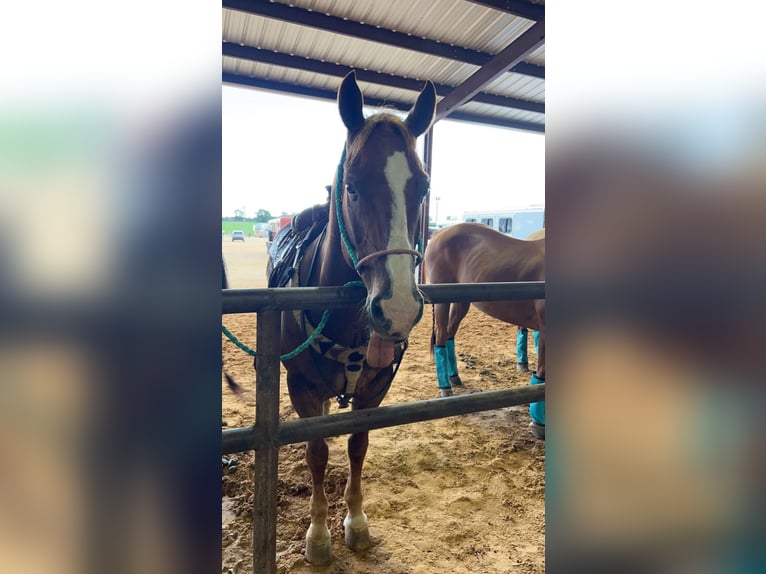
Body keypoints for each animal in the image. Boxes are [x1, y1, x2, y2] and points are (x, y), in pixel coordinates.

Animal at [267, 71, 435, 564]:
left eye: (422, 187)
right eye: (353, 186)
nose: (397, 307)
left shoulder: (375, 387)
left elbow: (357, 445)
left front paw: (356, 522)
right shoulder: (302, 386)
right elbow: (318, 451)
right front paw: (319, 533)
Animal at [423, 222, 545, 436]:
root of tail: (438, 233)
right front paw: (538, 425)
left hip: (461, 301)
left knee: (449, 335)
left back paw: (454, 378)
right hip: (442, 301)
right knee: (440, 337)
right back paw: (446, 389)